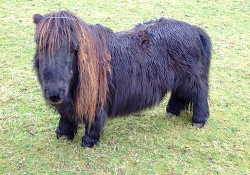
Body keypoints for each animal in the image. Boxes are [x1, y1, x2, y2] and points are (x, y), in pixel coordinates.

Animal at [32, 10, 211, 148]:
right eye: (40, 47)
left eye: (73, 48)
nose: (54, 94)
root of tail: (195, 30)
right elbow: (67, 115)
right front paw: (63, 133)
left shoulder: (98, 100)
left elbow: (93, 119)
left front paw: (89, 141)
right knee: (179, 94)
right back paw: (171, 112)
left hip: (192, 79)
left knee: (199, 93)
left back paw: (198, 121)